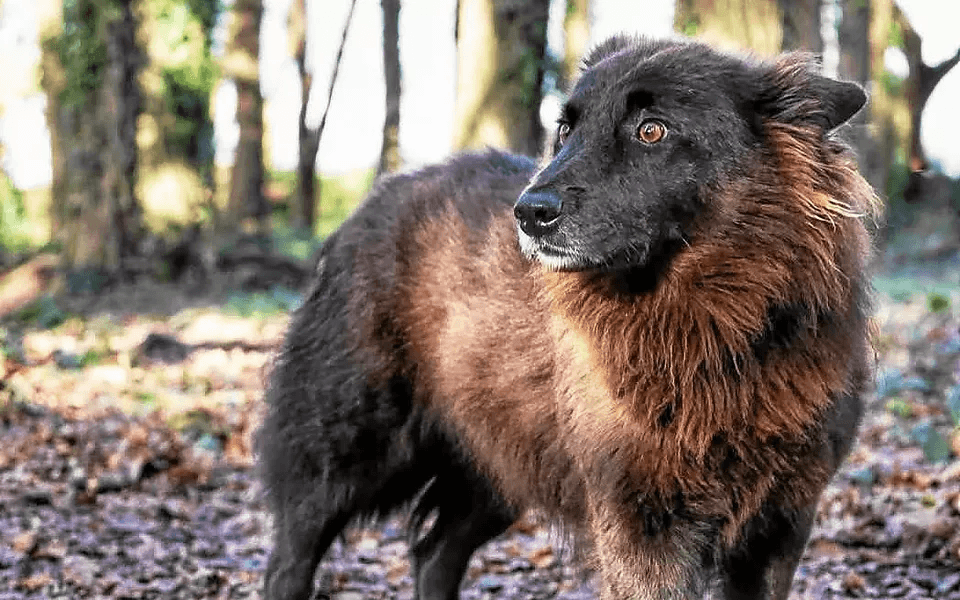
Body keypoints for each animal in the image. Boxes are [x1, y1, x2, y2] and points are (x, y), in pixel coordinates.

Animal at [257, 35, 876, 600]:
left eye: (652, 130)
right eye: (565, 131)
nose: (528, 213)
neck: (714, 328)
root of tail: (372, 202)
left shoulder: (778, 526)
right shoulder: (640, 525)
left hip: (497, 462)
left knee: (434, 553)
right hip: (346, 452)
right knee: (290, 558)